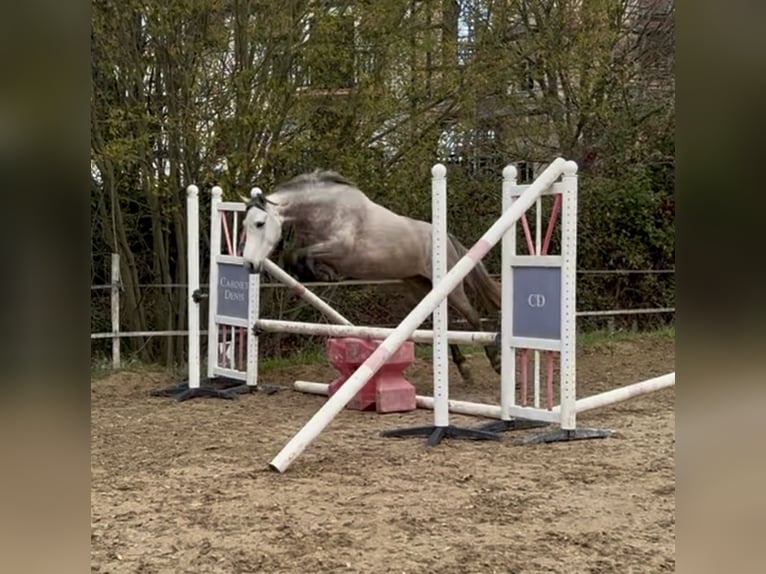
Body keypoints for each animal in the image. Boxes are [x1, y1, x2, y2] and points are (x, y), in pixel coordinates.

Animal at [240, 169, 502, 383]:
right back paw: (463, 366)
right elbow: (293, 257)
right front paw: (318, 275)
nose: (250, 264)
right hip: (419, 285)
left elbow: (299, 254)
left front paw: (325, 274)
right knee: (444, 321)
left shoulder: (341, 249)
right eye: (244, 225)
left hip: (450, 285)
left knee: (472, 317)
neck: (324, 211)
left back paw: (493, 361)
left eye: (260, 223)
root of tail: (445, 236)